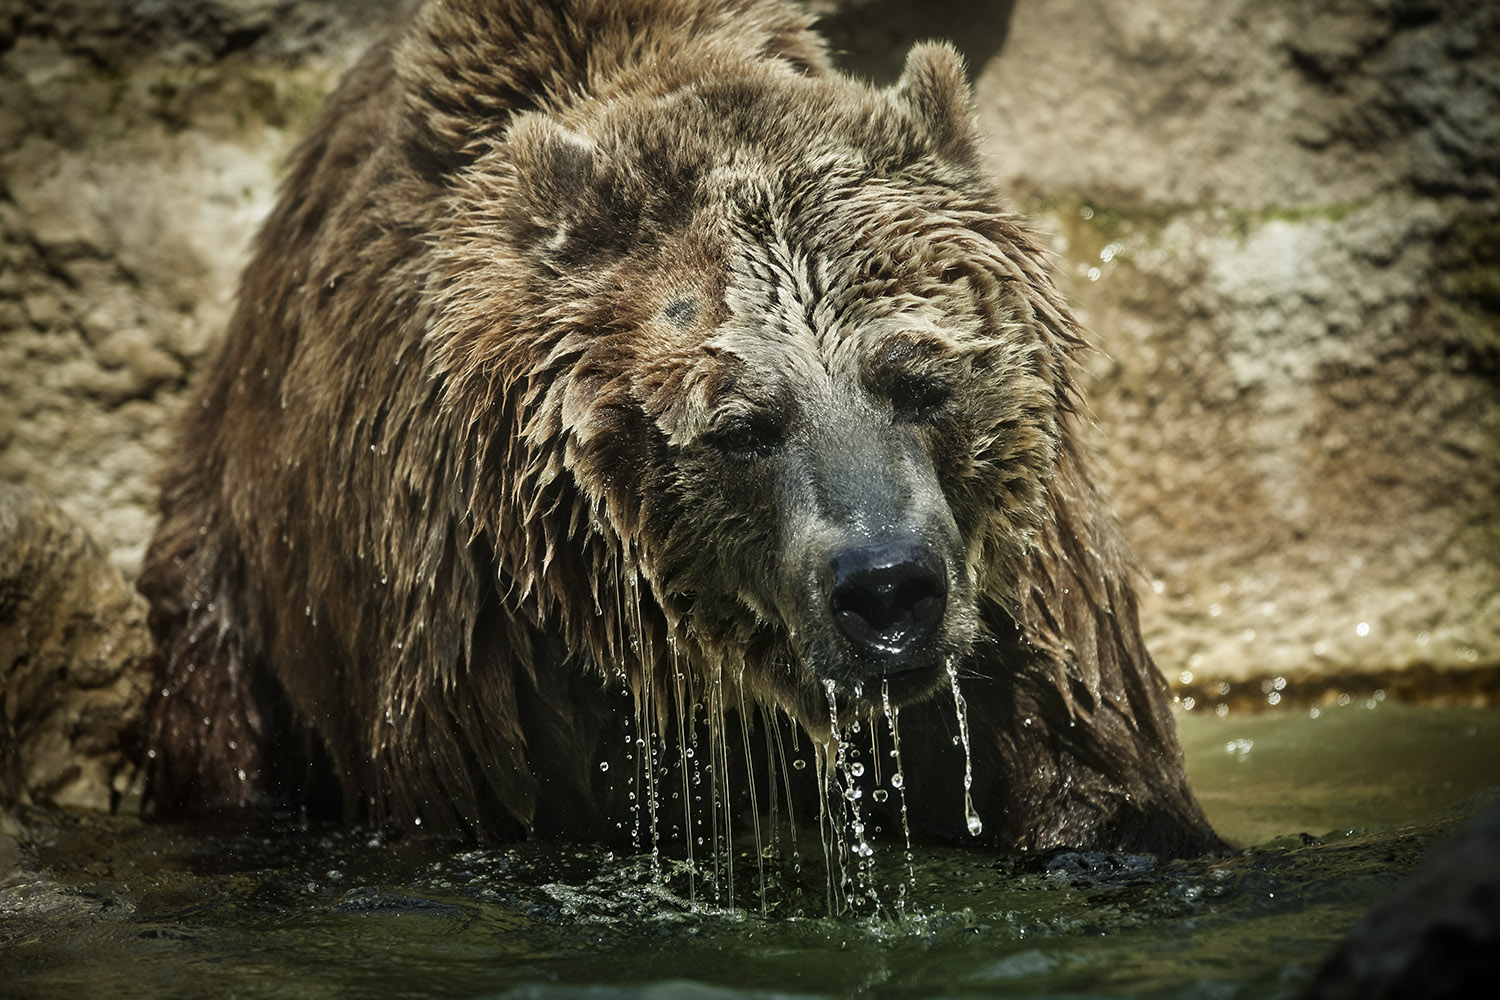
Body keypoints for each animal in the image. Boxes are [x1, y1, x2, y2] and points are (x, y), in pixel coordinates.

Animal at [137, 0, 1223, 860]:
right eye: (744, 426)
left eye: (920, 380)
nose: (887, 588)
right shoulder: (479, 638)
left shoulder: (1017, 591)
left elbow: (1096, 784)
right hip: (234, 581)